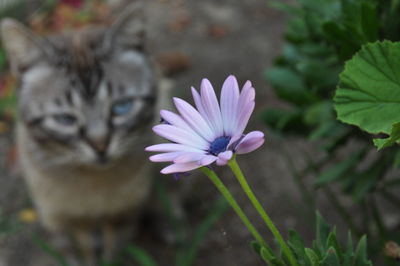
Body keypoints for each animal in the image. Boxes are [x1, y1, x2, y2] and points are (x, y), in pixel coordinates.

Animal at [0, 2, 159, 266]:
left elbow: (114, 248)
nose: (101, 146)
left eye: (122, 107)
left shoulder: (122, 213)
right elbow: (85, 248)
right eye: (65, 120)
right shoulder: (73, 219)